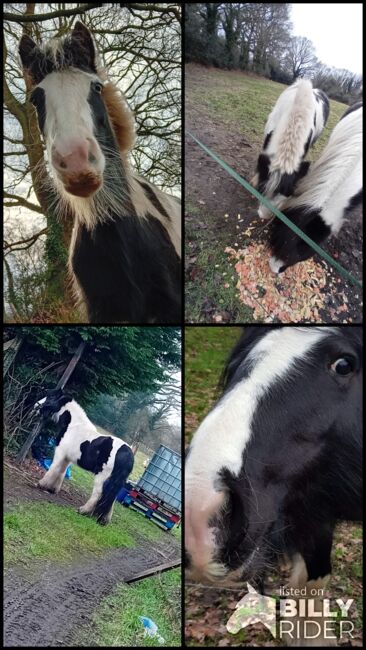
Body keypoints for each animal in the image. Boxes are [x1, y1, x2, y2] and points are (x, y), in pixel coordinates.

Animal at [34, 390, 134, 520]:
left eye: (51, 396)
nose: (35, 406)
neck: (73, 426)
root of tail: (127, 452)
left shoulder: (60, 453)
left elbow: (53, 469)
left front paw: (41, 484)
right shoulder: (67, 458)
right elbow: (61, 473)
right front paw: (53, 489)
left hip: (102, 476)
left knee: (98, 494)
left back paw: (83, 510)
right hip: (115, 481)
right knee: (111, 498)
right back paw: (103, 519)